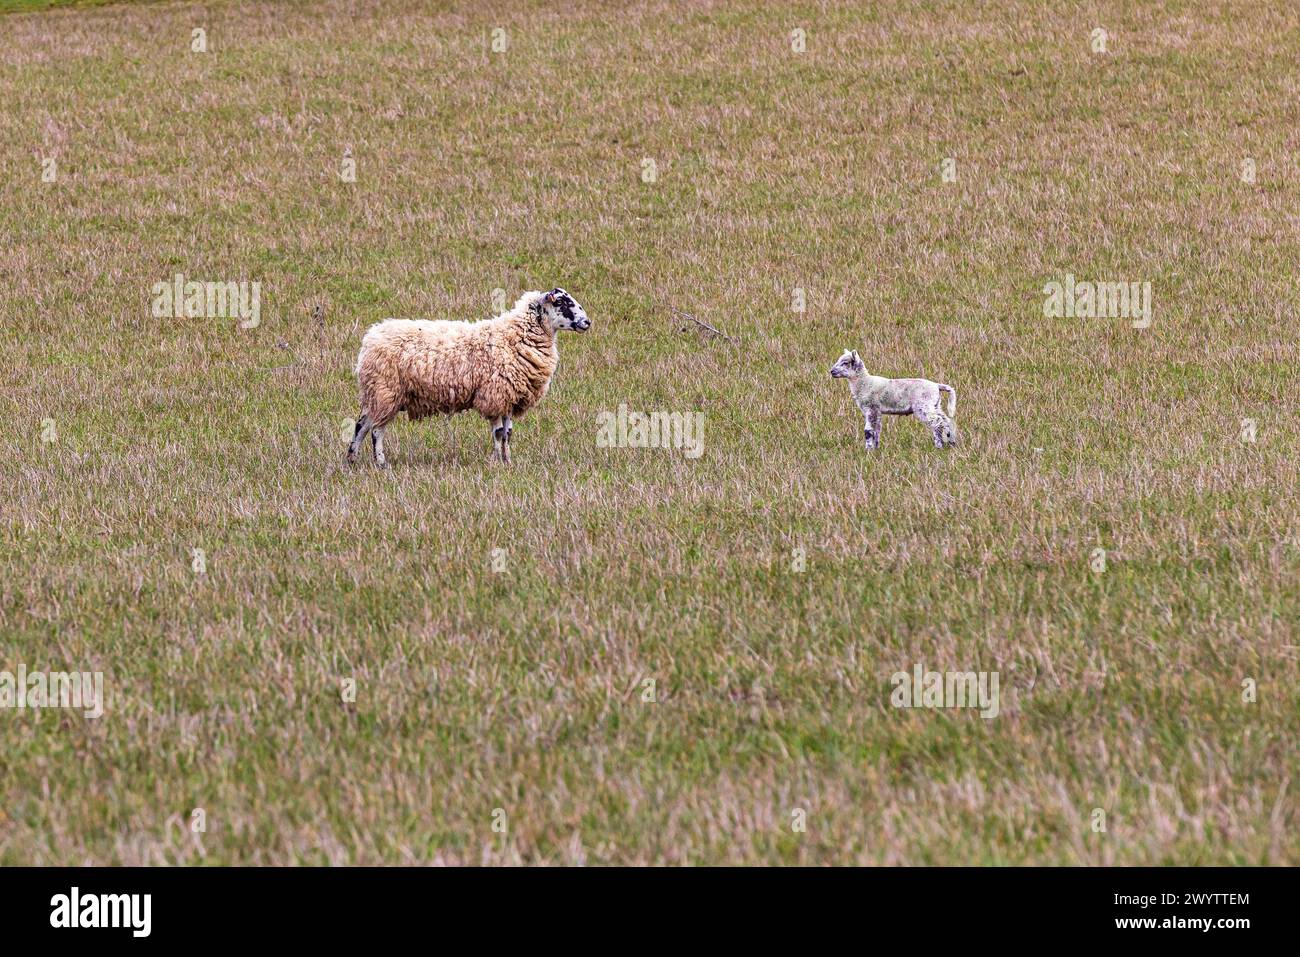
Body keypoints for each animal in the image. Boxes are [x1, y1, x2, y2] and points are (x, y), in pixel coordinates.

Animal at [347, 288, 591, 467]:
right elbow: (499, 433)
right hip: (386, 391)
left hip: (378, 393)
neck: (514, 336)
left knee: (361, 425)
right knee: (376, 430)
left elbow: (508, 433)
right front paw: (496, 461)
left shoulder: (509, 397)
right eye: (562, 303)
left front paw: (508, 461)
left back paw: (351, 460)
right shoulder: (494, 395)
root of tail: (371, 337)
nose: (587, 322)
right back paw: (381, 463)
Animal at [829, 349, 957, 450]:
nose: (831, 371)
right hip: (935, 405)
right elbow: (877, 429)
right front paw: (875, 448)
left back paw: (939, 445)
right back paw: (951, 442)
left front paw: (868, 449)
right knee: (946, 420)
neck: (864, 383)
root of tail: (937, 385)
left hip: (924, 406)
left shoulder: (871, 408)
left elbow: (868, 431)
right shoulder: (877, 411)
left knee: (937, 422)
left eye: (845, 362)